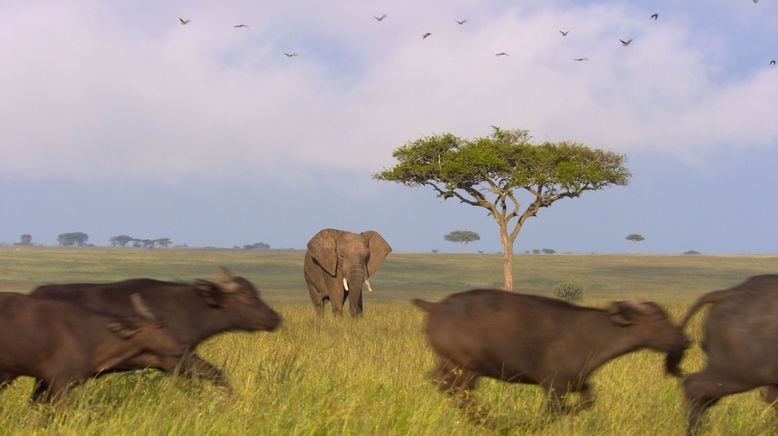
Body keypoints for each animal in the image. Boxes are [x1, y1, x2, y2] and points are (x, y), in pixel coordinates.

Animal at [412, 290, 684, 416]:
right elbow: (552, 412)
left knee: (439, 383)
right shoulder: (555, 386)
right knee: (459, 394)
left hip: (450, 366)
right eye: (658, 320)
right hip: (467, 370)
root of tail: (436, 307)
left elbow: (587, 402)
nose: (684, 339)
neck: (594, 333)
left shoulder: (578, 383)